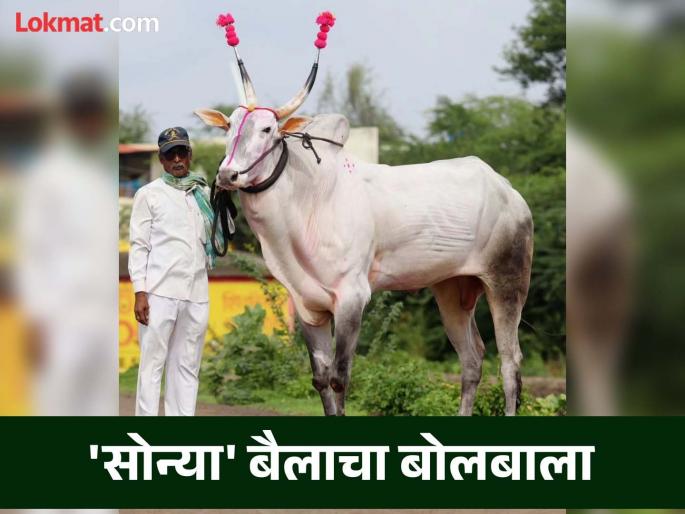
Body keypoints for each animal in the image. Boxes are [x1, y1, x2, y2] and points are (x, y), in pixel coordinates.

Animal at [195, 41, 533, 417]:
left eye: (268, 129)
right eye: (229, 127)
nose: (228, 175)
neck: (308, 199)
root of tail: (509, 190)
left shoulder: (352, 297)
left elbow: (339, 378)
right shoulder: (307, 306)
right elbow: (321, 380)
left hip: (507, 280)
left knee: (510, 364)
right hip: (451, 288)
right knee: (472, 359)